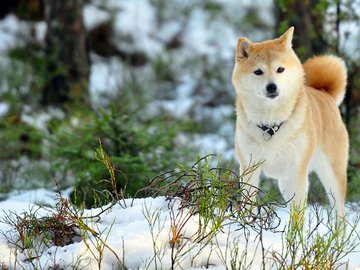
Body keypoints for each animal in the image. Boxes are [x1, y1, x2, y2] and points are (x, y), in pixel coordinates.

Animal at [232, 25, 348, 215]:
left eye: (280, 69)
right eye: (258, 72)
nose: (272, 87)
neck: (270, 125)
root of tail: (325, 93)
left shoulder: (297, 174)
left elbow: (298, 216)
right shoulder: (249, 168)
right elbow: (248, 206)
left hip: (331, 176)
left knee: (339, 212)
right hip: (284, 183)